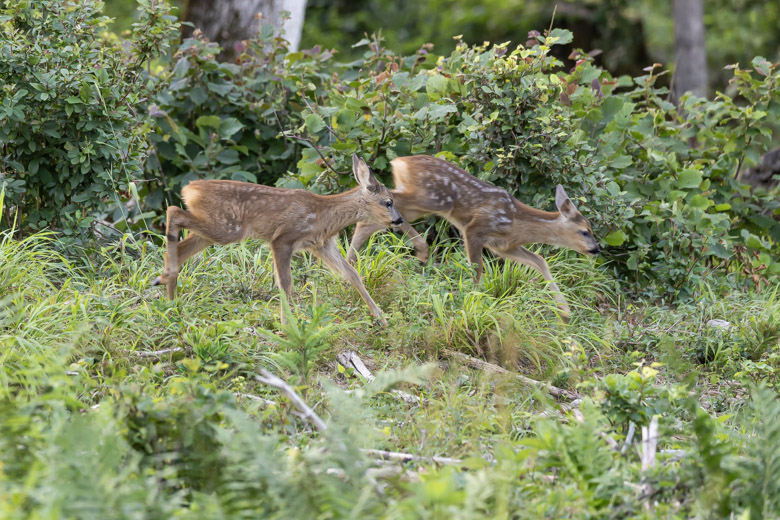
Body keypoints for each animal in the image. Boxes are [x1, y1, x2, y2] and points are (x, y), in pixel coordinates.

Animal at [155, 154, 406, 324]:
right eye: (388, 202)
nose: (399, 219)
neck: (324, 215)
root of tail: (190, 189)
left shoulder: (321, 245)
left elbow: (352, 274)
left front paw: (381, 318)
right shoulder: (283, 238)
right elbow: (285, 282)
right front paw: (287, 325)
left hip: (213, 232)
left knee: (180, 247)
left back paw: (171, 299)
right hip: (227, 228)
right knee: (174, 211)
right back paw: (166, 282)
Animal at [348, 153, 604, 320]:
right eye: (585, 231)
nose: (596, 248)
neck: (515, 221)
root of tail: (399, 161)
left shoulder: (504, 246)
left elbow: (540, 261)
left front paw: (565, 312)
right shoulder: (475, 229)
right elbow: (477, 269)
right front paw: (473, 302)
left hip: (421, 204)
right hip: (428, 199)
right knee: (379, 207)